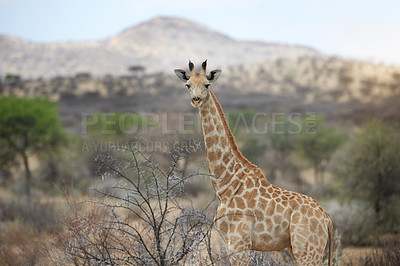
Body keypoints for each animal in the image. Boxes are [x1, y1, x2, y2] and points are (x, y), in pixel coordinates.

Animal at [175, 60, 334, 266]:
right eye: (187, 85)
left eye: (207, 84)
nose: (195, 99)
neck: (226, 185)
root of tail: (327, 218)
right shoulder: (229, 242)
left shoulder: (239, 244)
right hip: (299, 250)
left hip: (307, 251)